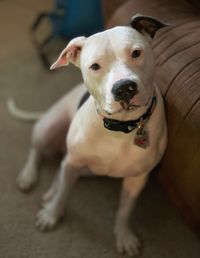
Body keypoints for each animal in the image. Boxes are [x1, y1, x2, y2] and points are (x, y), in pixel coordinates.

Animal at [16, 15, 168, 256]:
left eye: (136, 53)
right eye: (95, 66)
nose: (124, 88)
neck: (121, 127)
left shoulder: (137, 179)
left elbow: (125, 210)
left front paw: (123, 235)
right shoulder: (74, 161)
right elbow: (64, 194)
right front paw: (52, 214)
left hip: (83, 168)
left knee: (59, 168)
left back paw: (49, 191)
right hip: (47, 129)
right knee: (37, 151)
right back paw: (28, 177)